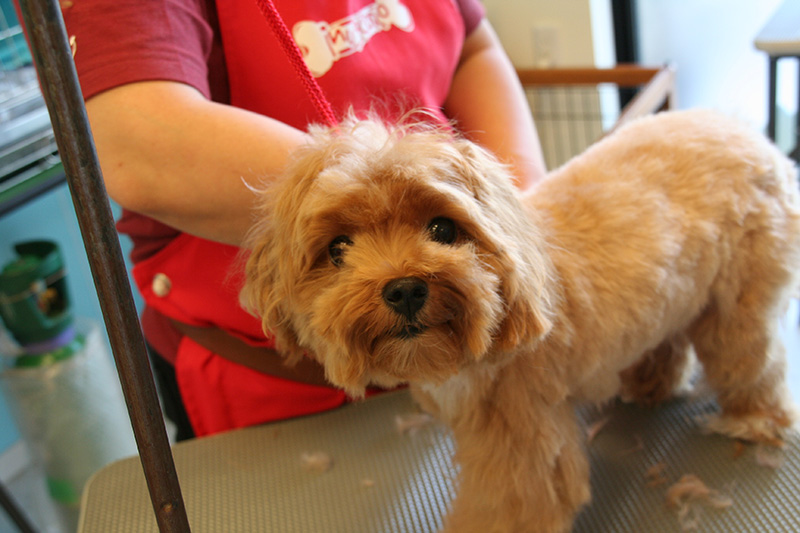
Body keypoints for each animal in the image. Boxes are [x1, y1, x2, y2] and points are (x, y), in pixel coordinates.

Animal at [242, 110, 800, 528]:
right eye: (338, 249)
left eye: (443, 229)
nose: (404, 288)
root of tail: (743, 129)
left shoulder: (518, 434)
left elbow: (516, 504)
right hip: (676, 290)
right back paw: (650, 383)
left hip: (738, 298)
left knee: (750, 358)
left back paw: (754, 419)